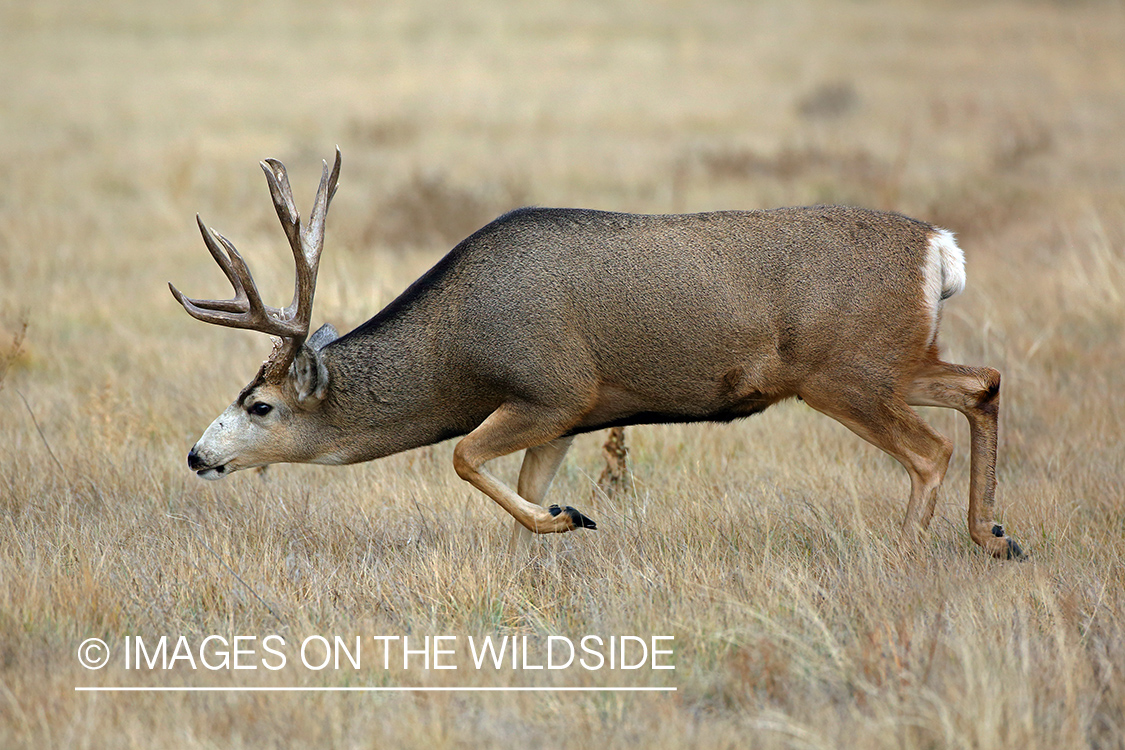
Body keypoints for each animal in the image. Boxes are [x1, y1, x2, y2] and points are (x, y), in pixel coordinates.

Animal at [171, 148, 1026, 557]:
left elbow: (463, 458)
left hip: (846, 371)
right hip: (895, 361)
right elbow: (520, 487)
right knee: (982, 383)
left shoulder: (552, 388)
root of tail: (938, 249)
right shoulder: (570, 419)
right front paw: (551, 529)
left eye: (259, 404)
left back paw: (907, 553)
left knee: (929, 450)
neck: (458, 346)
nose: (196, 456)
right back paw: (994, 536)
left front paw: (570, 519)